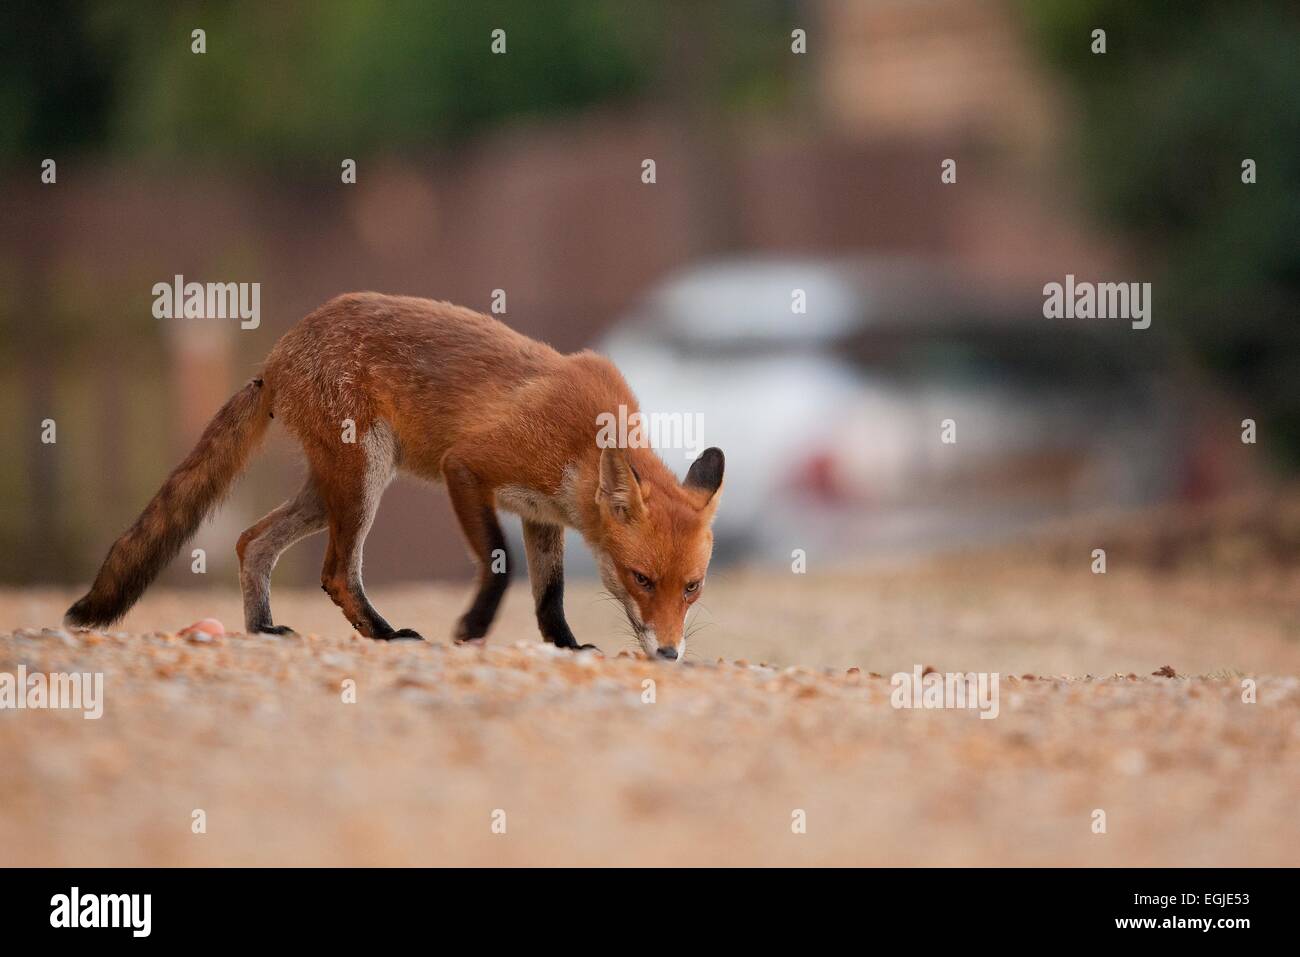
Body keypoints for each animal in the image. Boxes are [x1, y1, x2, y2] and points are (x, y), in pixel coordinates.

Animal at [63, 295, 722, 660]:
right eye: (641, 579)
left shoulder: (541, 513)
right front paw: (472, 627)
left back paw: (263, 629)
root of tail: (276, 355)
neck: (584, 443)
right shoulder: (468, 467)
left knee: (252, 542)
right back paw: (383, 635)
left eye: (692, 588)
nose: (669, 654)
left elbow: (549, 595)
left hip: (329, 492)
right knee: (335, 572)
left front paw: (564, 646)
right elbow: (499, 564)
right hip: (364, 480)